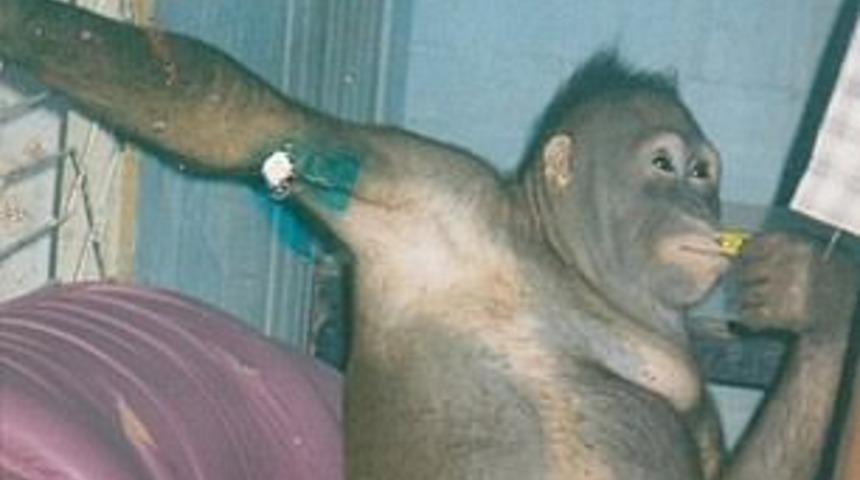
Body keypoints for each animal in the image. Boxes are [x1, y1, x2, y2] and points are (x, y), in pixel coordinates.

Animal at [0, 1, 857, 479]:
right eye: (664, 165)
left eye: (706, 172)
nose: (698, 203)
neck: (568, 266)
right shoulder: (429, 185)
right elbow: (241, 118)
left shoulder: (694, 386)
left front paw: (818, 302)